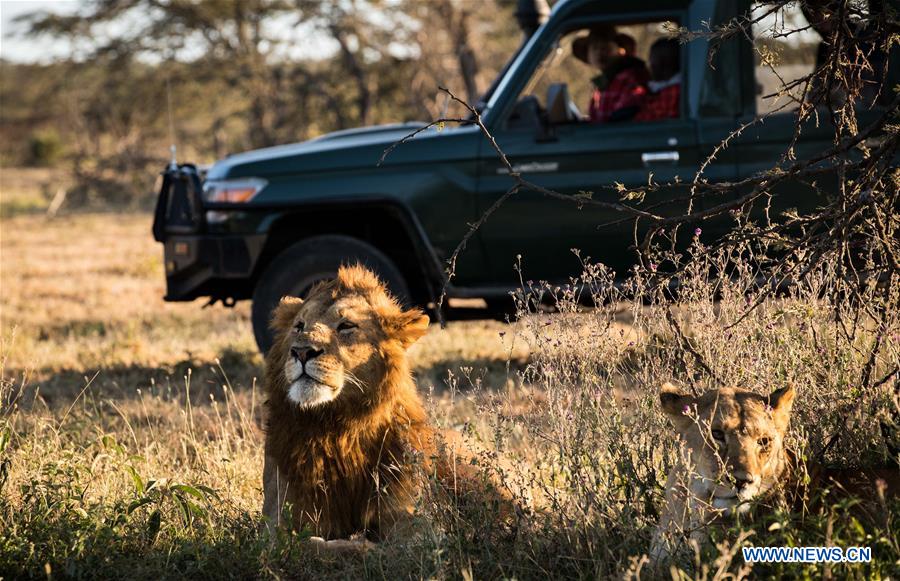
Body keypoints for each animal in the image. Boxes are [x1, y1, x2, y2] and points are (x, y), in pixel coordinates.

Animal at [262, 262, 512, 544]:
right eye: (299, 326)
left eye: (346, 325)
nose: (302, 351)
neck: (336, 430)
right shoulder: (276, 524)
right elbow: (311, 545)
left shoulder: (417, 526)